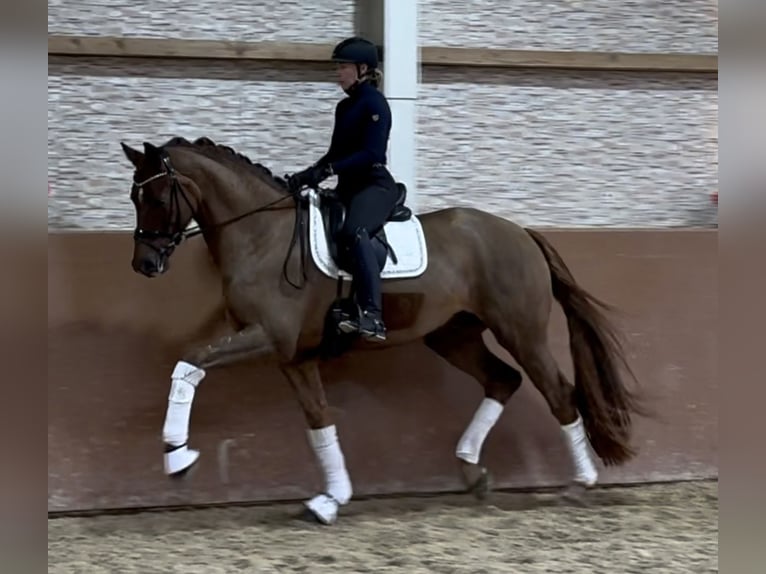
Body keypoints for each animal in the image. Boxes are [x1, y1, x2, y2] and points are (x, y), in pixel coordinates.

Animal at [118, 135, 648, 528]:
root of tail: (521, 233)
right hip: (453, 335)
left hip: (522, 331)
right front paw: (331, 499)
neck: (262, 237)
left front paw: (177, 456)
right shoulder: (294, 357)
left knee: (558, 393)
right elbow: (319, 421)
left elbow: (190, 360)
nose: (144, 264)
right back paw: (471, 470)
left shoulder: (268, 337)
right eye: (133, 196)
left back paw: (579, 484)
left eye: (157, 196)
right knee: (503, 380)